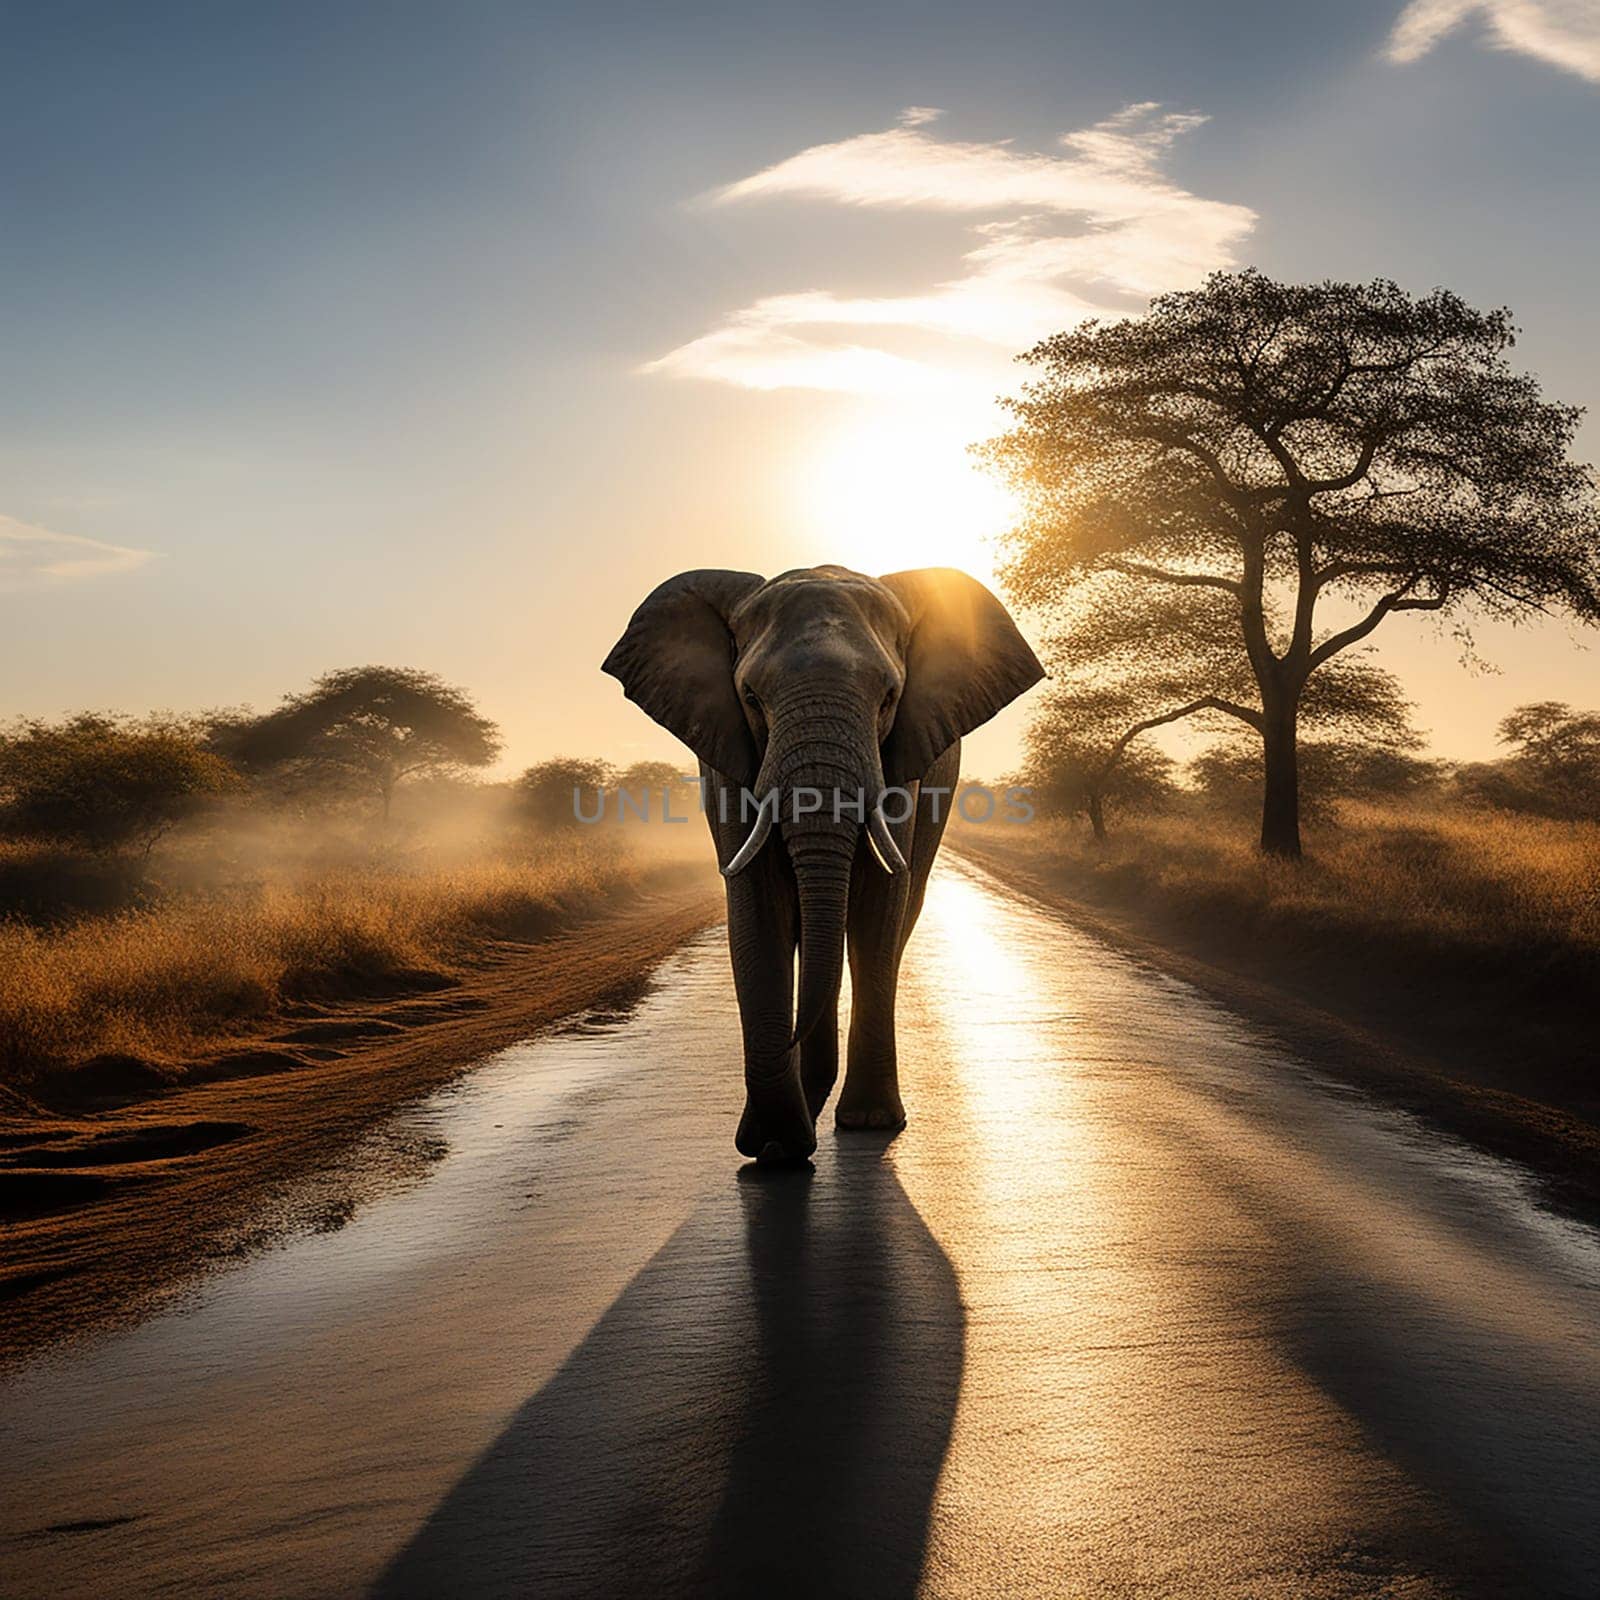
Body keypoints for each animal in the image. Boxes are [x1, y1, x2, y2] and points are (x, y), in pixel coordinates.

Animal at [604, 566, 1043, 1164]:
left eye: (889, 698)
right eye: (750, 696)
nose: (787, 1039)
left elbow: (877, 908)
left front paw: (867, 1125)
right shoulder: (728, 762)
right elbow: (757, 907)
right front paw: (776, 1147)